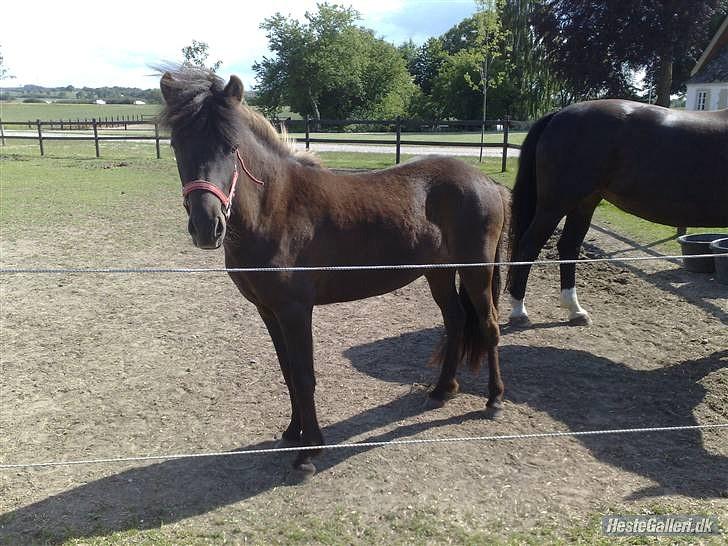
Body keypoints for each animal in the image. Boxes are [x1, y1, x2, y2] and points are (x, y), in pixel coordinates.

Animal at [159, 68, 510, 474]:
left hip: (476, 271)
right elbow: (288, 371)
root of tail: (487, 182)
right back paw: (442, 390)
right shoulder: (267, 310)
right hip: (438, 272)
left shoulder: (295, 310)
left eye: (230, 146)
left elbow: (304, 375)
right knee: (455, 320)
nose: (206, 226)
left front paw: (310, 450)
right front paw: (292, 432)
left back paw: (494, 400)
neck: (275, 207)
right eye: (177, 144)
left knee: (488, 325)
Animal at [506, 98, 728, 326]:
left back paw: (575, 310)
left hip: (584, 203)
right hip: (555, 205)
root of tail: (559, 114)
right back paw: (519, 311)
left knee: (568, 246)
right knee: (528, 247)